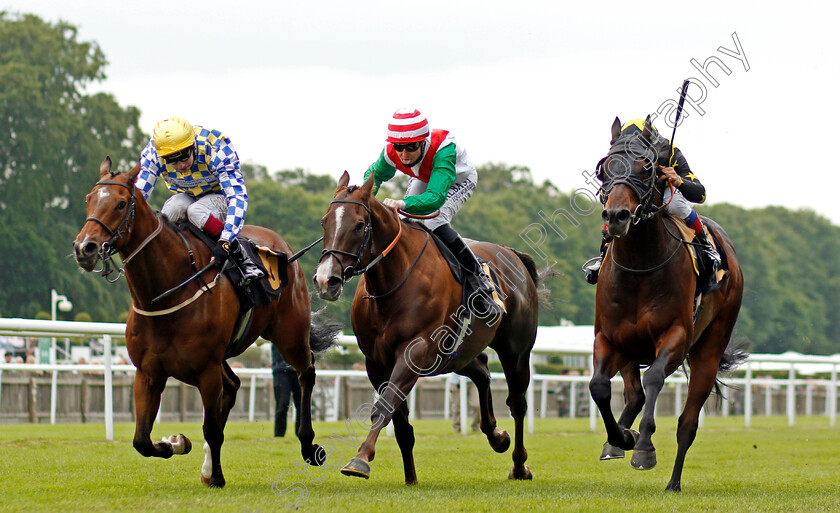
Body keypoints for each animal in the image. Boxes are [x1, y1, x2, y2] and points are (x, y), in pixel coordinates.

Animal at [71, 157, 334, 488]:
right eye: (88, 199)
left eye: (120, 204)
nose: (85, 248)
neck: (167, 292)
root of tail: (284, 249)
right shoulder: (148, 373)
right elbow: (142, 440)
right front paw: (176, 443)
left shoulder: (206, 371)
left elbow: (212, 429)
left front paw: (217, 475)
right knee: (234, 386)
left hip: (290, 334)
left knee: (306, 373)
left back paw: (308, 445)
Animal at [312, 170, 540, 482]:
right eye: (324, 221)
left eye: (359, 225)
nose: (326, 280)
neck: (393, 283)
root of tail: (513, 255)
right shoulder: (376, 361)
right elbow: (399, 422)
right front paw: (411, 478)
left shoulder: (415, 351)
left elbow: (385, 405)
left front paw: (360, 459)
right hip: (456, 353)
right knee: (481, 372)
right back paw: (496, 436)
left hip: (515, 351)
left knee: (517, 403)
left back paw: (519, 465)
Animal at [588, 117, 744, 492]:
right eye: (604, 169)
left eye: (646, 168)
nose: (616, 216)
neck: (640, 266)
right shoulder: (609, 338)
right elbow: (599, 387)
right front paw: (621, 438)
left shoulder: (675, 336)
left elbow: (655, 378)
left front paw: (643, 446)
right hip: (630, 349)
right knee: (634, 394)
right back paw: (617, 440)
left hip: (709, 348)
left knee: (687, 422)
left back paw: (673, 482)